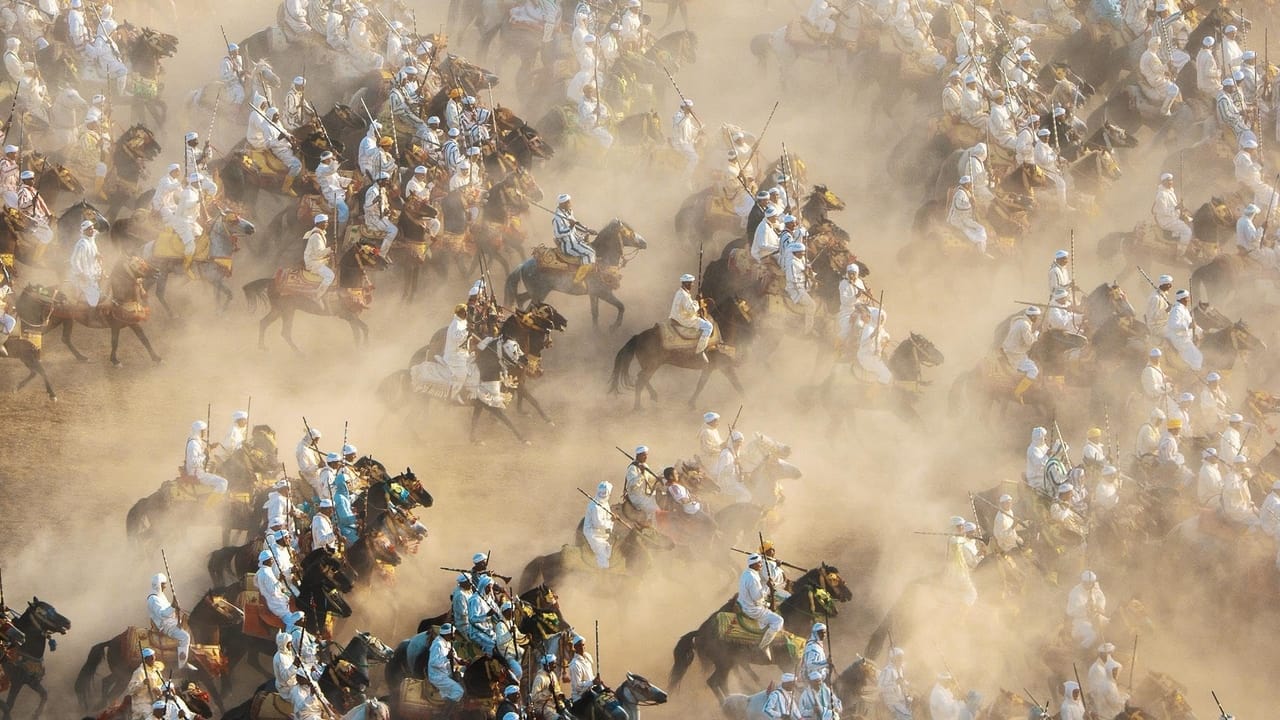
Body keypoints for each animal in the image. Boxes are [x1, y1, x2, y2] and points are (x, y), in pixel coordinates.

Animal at [72, 589, 240, 712]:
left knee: (106, 681)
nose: (241, 614)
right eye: (220, 606)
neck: (198, 637)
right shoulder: (204, 675)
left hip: (119, 674)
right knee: (111, 689)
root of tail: (112, 641)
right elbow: (218, 699)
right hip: (123, 678)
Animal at [241, 240, 386, 351]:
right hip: (287, 310)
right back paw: (300, 354)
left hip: (278, 310)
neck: (346, 281)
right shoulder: (347, 315)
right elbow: (364, 329)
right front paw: (365, 348)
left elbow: (358, 334)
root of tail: (271, 281)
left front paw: (360, 349)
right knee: (285, 332)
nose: (386, 263)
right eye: (369, 251)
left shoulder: (352, 315)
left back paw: (262, 347)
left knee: (264, 323)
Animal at [504, 217, 650, 326]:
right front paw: (614, 327)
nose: (644, 243)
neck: (602, 258)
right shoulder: (603, 292)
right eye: (629, 232)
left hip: (537, 292)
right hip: (539, 294)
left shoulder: (593, 294)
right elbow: (621, 306)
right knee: (528, 309)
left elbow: (595, 314)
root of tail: (523, 265)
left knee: (520, 298)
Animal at [606, 295, 747, 409]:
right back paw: (638, 407)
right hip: (652, 366)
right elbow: (730, 384)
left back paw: (653, 396)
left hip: (650, 366)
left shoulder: (716, 368)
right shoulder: (721, 366)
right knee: (641, 380)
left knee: (641, 378)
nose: (749, 324)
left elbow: (712, 384)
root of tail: (638, 337)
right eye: (743, 309)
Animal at [665, 563, 855, 696]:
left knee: (724, 680)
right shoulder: (785, 663)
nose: (849, 595)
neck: (791, 618)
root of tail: (699, 633)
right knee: (715, 682)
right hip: (723, 663)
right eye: (834, 579)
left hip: (729, 662)